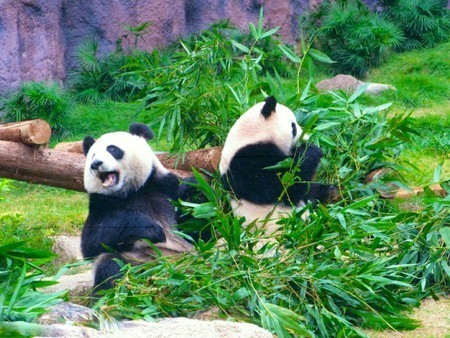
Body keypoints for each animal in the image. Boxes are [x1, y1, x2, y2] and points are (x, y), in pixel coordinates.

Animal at [81, 123, 193, 292]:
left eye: (112, 149)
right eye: (92, 155)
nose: (95, 164)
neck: (132, 190)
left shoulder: (165, 187)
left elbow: (196, 230)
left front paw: (192, 191)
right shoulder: (100, 203)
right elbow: (90, 242)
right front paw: (151, 229)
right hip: (137, 262)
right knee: (109, 266)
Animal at [220, 95, 336, 232]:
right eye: (293, 127)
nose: (306, 137)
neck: (250, 135)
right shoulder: (245, 164)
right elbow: (283, 184)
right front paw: (311, 149)